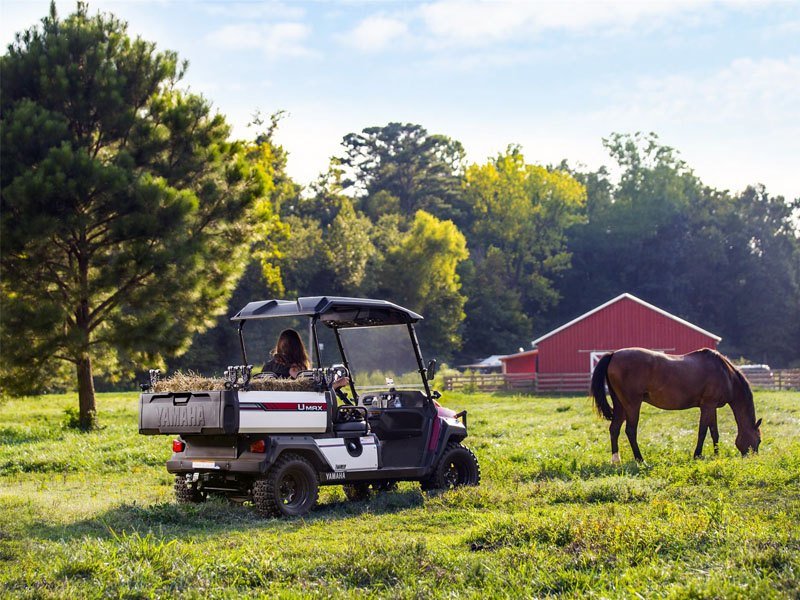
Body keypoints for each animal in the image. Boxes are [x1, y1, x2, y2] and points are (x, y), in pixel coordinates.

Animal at [592, 346, 764, 464]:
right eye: (759, 440)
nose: (753, 458)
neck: (725, 374)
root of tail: (614, 354)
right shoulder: (708, 405)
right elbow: (703, 432)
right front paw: (698, 455)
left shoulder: (710, 407)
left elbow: (714, 432)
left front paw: (716, 455)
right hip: (632, 404)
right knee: (630, 431)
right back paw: (641, 460)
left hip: (620, 405)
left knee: (614, 429)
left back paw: (616, 460)